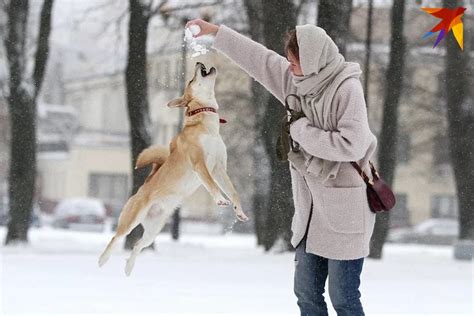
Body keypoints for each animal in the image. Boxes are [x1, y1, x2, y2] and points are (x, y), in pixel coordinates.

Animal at [98, 63, 250, 276]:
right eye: (191, 79)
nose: (200, 64)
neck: (207, 127)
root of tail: (142, 188)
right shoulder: (200, 164)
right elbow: (212, 185)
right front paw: (220, 199)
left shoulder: (219, 167)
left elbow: (233, 192)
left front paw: (239, 212)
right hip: (131, 219)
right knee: (116, 237)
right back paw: (102, 260)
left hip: (154, 229)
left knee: (138, 244)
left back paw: (129, 268)